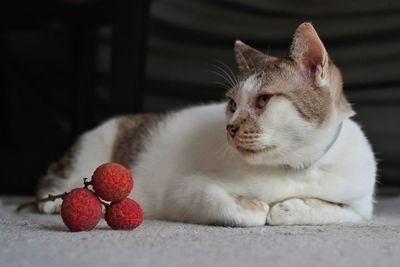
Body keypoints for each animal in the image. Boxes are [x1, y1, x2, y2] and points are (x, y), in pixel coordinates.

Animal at [36, 23, 376, 227]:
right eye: (232, 104)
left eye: (263, 101)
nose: (231, 127)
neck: (294, 169)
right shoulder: (184, 190)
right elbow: (244, 211)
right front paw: (261, 207)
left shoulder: (361, 207)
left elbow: (337, 211)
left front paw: (291, 207)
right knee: (54, 183)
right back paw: (54, 203)